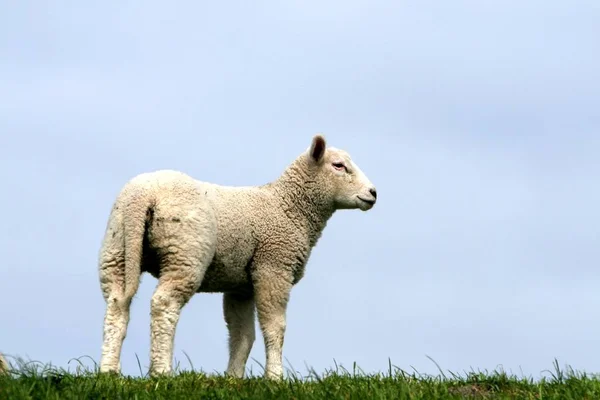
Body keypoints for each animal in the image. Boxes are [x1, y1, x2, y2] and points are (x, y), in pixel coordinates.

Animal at [98, 134, 380, 378]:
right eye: (339, 166)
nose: (373, 193)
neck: (289, 207)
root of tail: (143, 195)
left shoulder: (240, 286)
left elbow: (242, 335)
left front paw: (233, 378)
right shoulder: (273, 266)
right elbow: (275, 326)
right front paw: (274, 377)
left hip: (117, 248)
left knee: (116, 304)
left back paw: (109, 370)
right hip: (185, 252)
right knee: (164, 304)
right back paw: (161, 371)